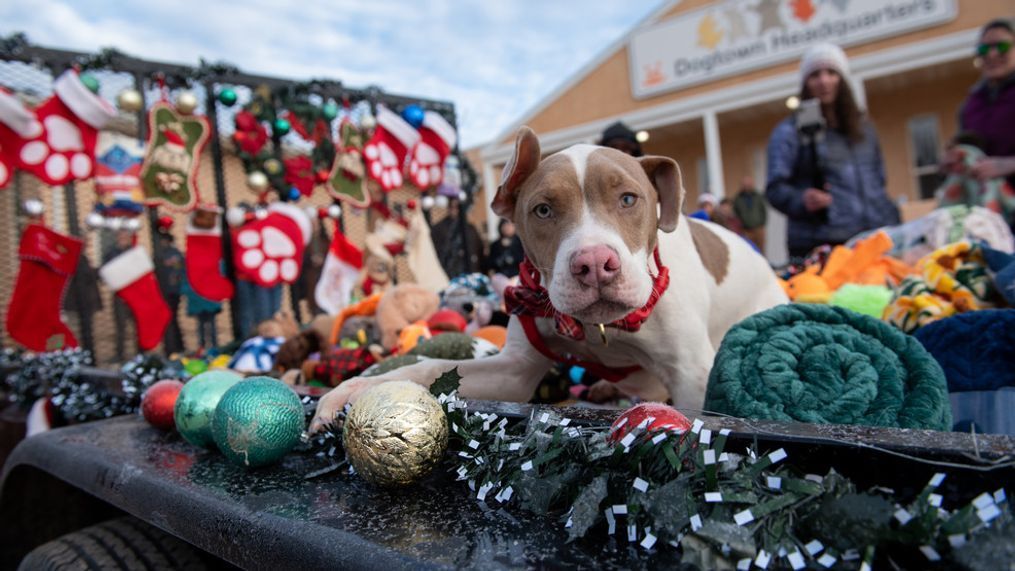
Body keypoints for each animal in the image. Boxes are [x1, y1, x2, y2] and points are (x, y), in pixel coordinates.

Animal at [308, 127, 783, 432]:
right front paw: (355, 390)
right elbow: (430, 369)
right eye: (543, 209)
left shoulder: (691, 375)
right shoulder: (513, 371)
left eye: (629, 199)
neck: (601, 330)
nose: (595, 263)